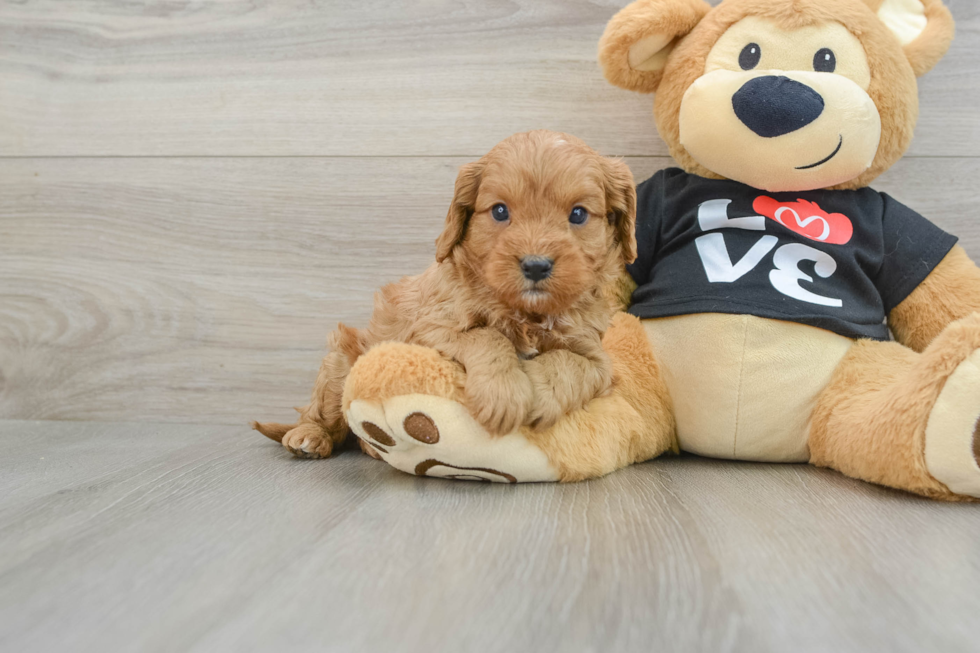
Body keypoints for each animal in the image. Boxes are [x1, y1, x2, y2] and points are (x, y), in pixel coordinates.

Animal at [255, 130, 636, 458]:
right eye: (500, 211)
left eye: (578, 214)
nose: (536, 266)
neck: (524, 312)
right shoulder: (429, 330)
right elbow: (487, 336)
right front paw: (504, 394)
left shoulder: (596, 354)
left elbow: (573, 364)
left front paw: (540, 394)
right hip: (340, 361)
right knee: (326, 415)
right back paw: (309, 436)